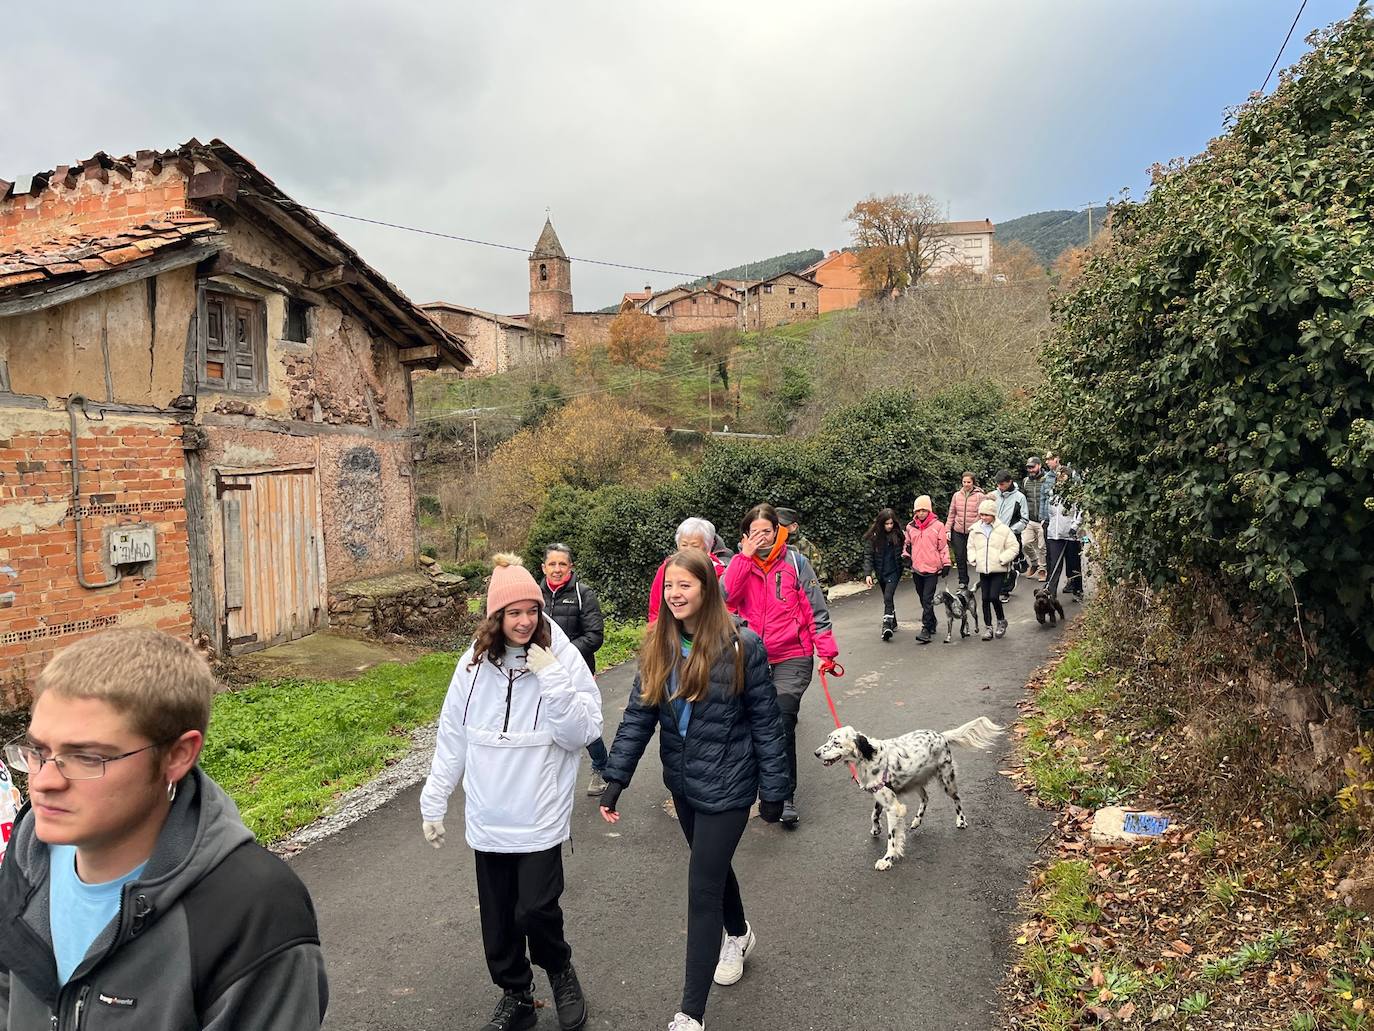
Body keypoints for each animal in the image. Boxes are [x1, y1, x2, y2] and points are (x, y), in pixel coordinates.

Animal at [813, 720, 1000, 874]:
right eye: (828, 739)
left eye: (836, 742)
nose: (816, 753)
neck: (869, 757)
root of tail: (941, 735)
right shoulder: (881, 795)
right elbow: (874, 814)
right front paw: (876, 829)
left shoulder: (892, 807)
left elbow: (892, 838)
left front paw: (887, 859)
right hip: (915, 782)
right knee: (926, 798)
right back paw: (917, 821)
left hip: (947, 780)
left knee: (957, 799)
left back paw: (961, 820)